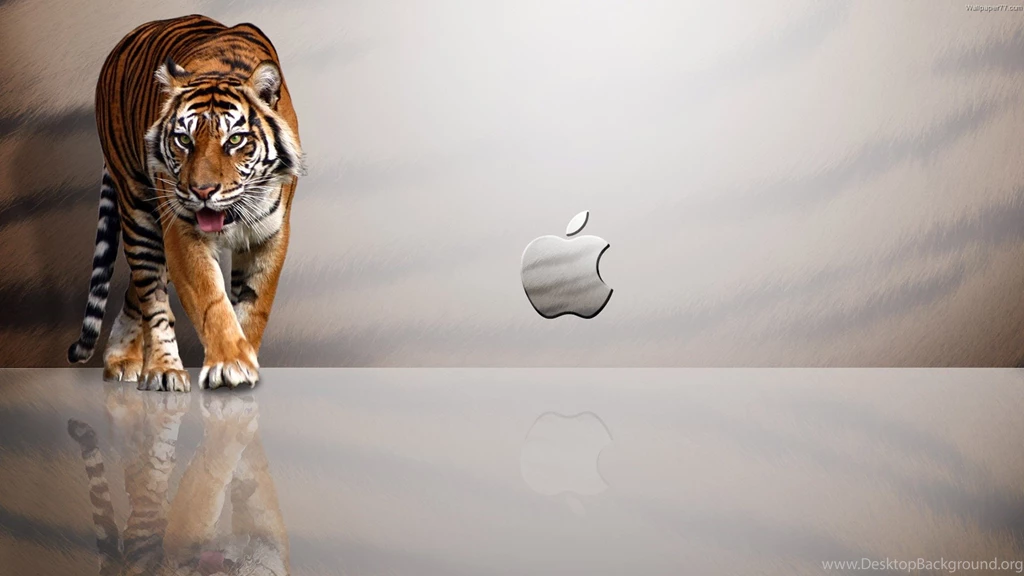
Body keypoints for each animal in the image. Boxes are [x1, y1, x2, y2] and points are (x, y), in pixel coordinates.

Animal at [65, 14, 304, 391]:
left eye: (234, 140)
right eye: (184, 140)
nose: (202, 191)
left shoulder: (271, 234)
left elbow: (254, 304)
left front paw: (245, 357)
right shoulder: (181, 232)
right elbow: (211, 302)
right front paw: (230, 362)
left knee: (137, 292)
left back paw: (122, 357)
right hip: (138, 213)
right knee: (152, 297)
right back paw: (160, 369)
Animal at [67, 389, 290, 575]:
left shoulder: (180, 547)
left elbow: (210, 472)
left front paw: (230, 418)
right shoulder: (267, 532)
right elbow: (256, 475)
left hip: (151, 506)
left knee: (141, 471)